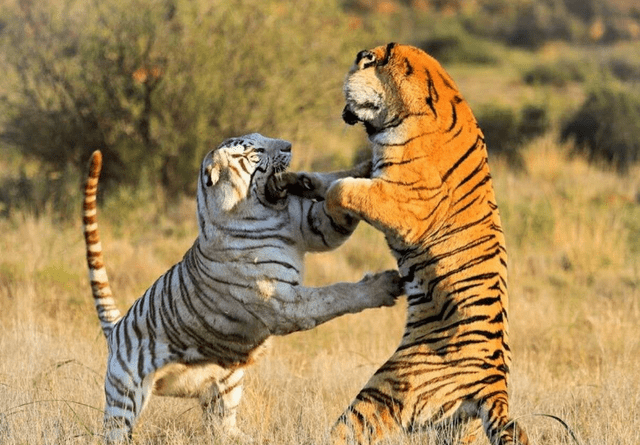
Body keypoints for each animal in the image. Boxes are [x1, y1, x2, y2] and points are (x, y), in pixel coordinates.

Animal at [82, 133, 403, 443]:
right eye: (256, 151)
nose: (289, 145)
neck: (270, 211)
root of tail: (117, 327)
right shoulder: (286, 304)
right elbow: (336, 294)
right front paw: (386, 285)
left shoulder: (318, 226)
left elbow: (337, 198)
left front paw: (361, 169)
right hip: (124, 398)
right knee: (116, 431)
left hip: (226, 384)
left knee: (221, 427)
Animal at [280, 43, 529, 444]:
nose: (343, 111)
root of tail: (495, 386)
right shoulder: (374, 172)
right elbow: (334, 176)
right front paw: (294, 180)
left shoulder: (403, 204)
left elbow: (342, 187)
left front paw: (327, 204)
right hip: (456, 429)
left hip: (381, 392)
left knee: (345, 429)